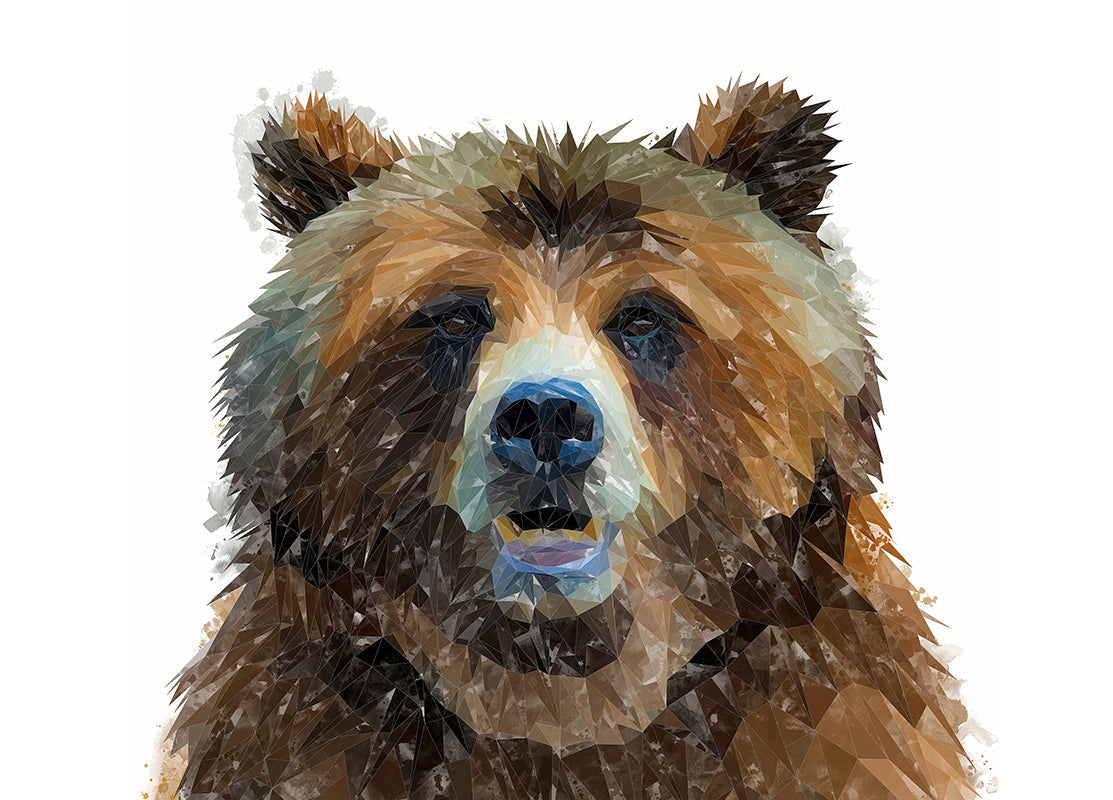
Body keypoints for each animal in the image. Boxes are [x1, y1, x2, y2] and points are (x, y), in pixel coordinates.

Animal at [168, 78, 977, 800]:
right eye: (456, 315)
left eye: (642, 316)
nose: (546, 418)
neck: (566, 701)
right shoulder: (311, 714)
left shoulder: (814, 705)